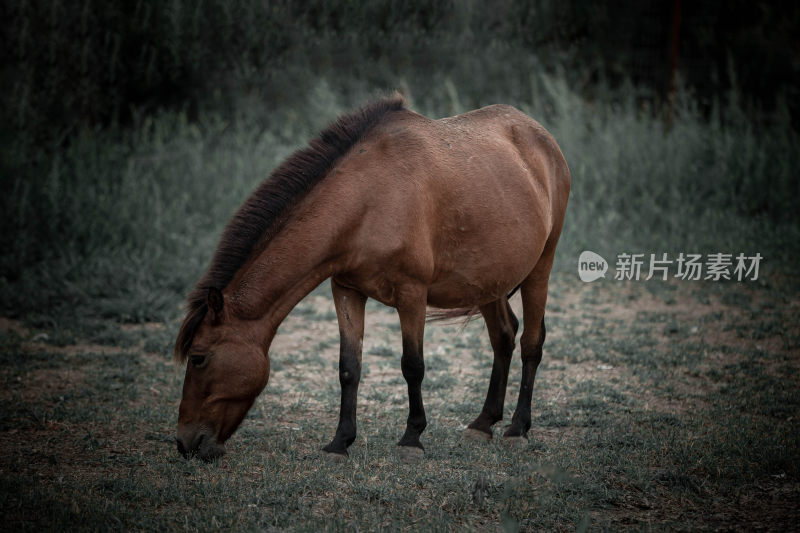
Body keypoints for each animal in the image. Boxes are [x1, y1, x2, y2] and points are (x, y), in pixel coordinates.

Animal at [173, 95, 568, 462]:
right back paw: (483, 424)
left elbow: (412, 366)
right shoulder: (346, 290)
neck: (366, 201)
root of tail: (541, 136)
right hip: (489, 281)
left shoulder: (412, 295)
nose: (185, 443)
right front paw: (340, 442)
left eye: (198, 358)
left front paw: (411, 439)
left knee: (532, 344)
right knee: (503, 337)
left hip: (540, 268)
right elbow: (349, 367)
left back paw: (517, 428)